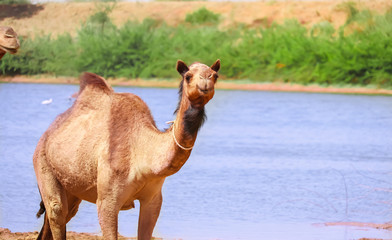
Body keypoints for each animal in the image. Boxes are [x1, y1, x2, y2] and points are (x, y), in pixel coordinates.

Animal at [33, 59, 220, 239]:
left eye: (215, 75)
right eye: (188, 76)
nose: (205, 83)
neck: (143, 156)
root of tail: (46, 135)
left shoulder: (153, 200)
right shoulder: (107, 202)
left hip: (72, 190)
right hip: (43, 164)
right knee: (56, 210)